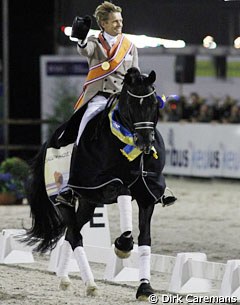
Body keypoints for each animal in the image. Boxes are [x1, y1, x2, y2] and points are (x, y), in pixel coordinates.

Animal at [24, 67, 176, 300]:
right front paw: (123, 244)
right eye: (131, 104)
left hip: (88, 203)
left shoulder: (147, 195)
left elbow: (145, 238)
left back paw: (65, 279)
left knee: (70, 233)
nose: (145, 142)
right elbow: (123, 191)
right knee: (75, 235)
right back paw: (90, 284)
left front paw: (144, 287)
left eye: (153, 103)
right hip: (64, 199)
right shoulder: (101, 185)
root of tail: (50, 140)